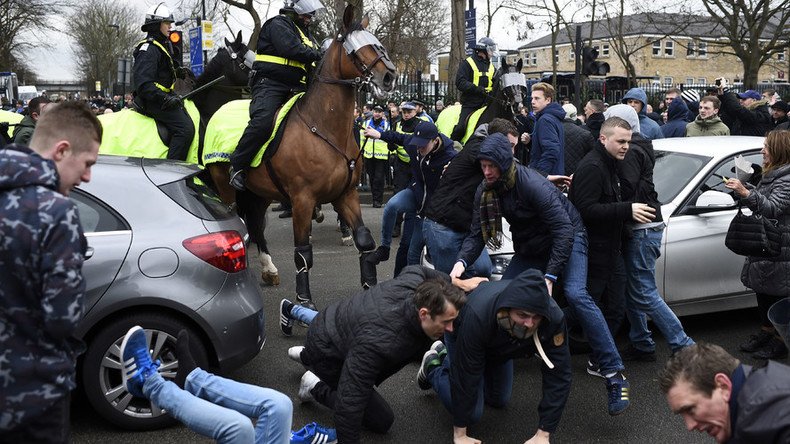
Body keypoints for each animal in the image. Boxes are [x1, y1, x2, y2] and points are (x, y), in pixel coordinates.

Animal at [223, 5, 396, 306]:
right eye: (356, 49)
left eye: (378, 43)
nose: (390, 76)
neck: (324, 128)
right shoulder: (302, 200)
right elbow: (303, 252)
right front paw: (304, 300)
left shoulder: (347, 193)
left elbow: (364, 240)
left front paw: (369, 286)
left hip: (258, 193)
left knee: (255, 225)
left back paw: (268, 268)